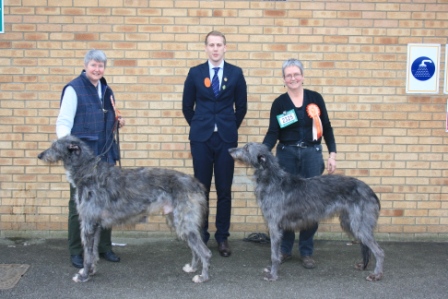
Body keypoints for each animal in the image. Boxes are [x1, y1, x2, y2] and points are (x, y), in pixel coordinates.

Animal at [37, 136, 211, 284]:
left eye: (54, 146)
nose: (39, 155)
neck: (88, 171)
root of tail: (196, 183)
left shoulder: (88, 223)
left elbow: (87, 254)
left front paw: (84, 276)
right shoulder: (95, 224)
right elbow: (93, 252)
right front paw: (91, 271)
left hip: (184, 221)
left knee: (204, 251)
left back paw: (203, 277)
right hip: (177, 220)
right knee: (194, 248)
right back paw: (193, 268)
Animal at [229, 143, 384, 284]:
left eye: (247, 148)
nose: (230, 149)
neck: (271, 178)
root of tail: (371, 192)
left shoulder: (274, 226)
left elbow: (274, 254)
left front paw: (273, 275)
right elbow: (277, 252)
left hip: (359, 224)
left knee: (379, 251)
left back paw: (376, 275)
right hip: (349, 222)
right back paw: (363, 265)